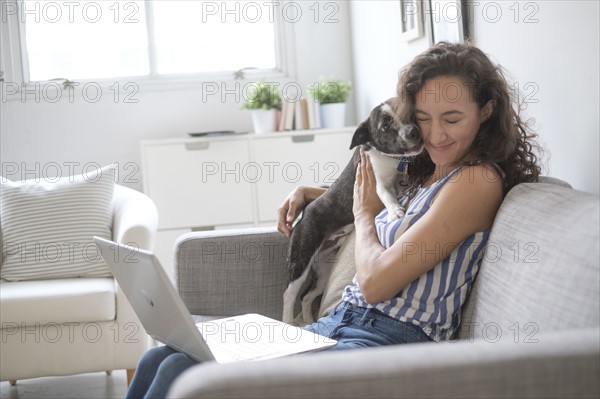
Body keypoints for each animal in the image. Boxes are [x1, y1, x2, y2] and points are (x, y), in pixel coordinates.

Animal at [284, 100, 424, 324]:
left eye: (407, 113)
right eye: (385, 127)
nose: (413, 131)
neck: (391, 158)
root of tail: (303, 215)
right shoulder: (379, 184)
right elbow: (388, 196)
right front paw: (395, 211)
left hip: (323, 272)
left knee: (306, 297)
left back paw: (307, 320)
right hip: (301, 262)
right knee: (290, 294)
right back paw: (289, 321)